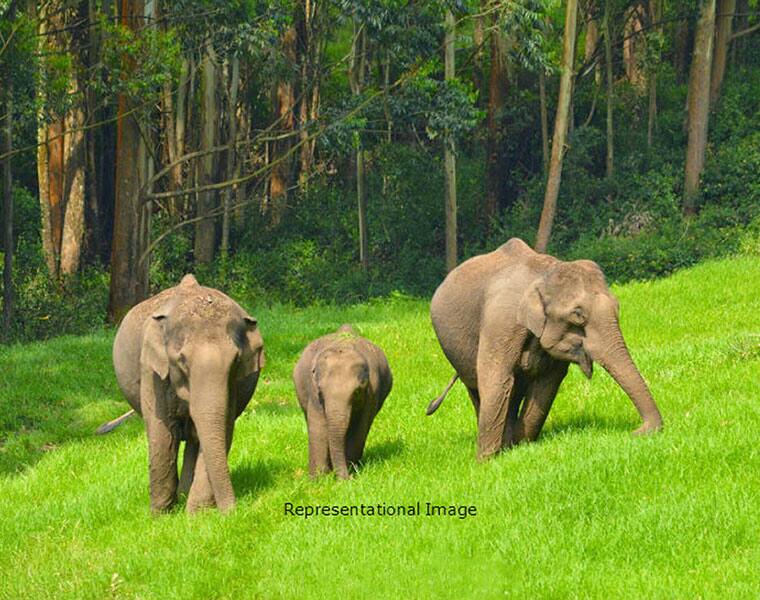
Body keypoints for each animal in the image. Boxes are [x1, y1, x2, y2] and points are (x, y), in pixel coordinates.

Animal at [111, 274, 266, 512]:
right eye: (182, 360)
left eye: (236, 361)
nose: (233, 512)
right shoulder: (151, 371)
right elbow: (161, 434)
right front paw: (161, 514)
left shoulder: (233, 385)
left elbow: (221, 429)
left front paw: (196, 514)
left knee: (194, 440)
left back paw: (185, 495)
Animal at [292, 326, 392, 480]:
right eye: (321, 391)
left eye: (356, 392)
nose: (347, 478)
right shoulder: (313, 392)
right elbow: (318, 425)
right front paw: (318, 479)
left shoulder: (372, 393)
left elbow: (359, 428)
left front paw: (350, 471)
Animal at [430, 238, 664, 460]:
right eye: (578, 315)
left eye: (617, 306)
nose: (636, 432)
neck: (544, 272)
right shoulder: (500, 323)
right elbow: (497, 379)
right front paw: (486, 462)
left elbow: (547, 383)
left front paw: (521, 447)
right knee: (477, 388)